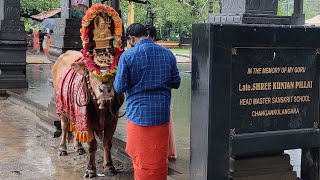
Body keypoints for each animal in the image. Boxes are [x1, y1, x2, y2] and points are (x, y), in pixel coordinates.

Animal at [52, 4, 124, 177]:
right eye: (92, 73)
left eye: (115, 73)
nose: (106, 90)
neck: (101, 109)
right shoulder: (87, 117)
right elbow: (92, 145)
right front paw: (91, 170)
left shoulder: (113, 119)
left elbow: (107, 143)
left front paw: (109, 166)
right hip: (63, 108)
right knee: (65, 126)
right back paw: (62, 149)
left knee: (76, 128)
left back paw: (78, 147)